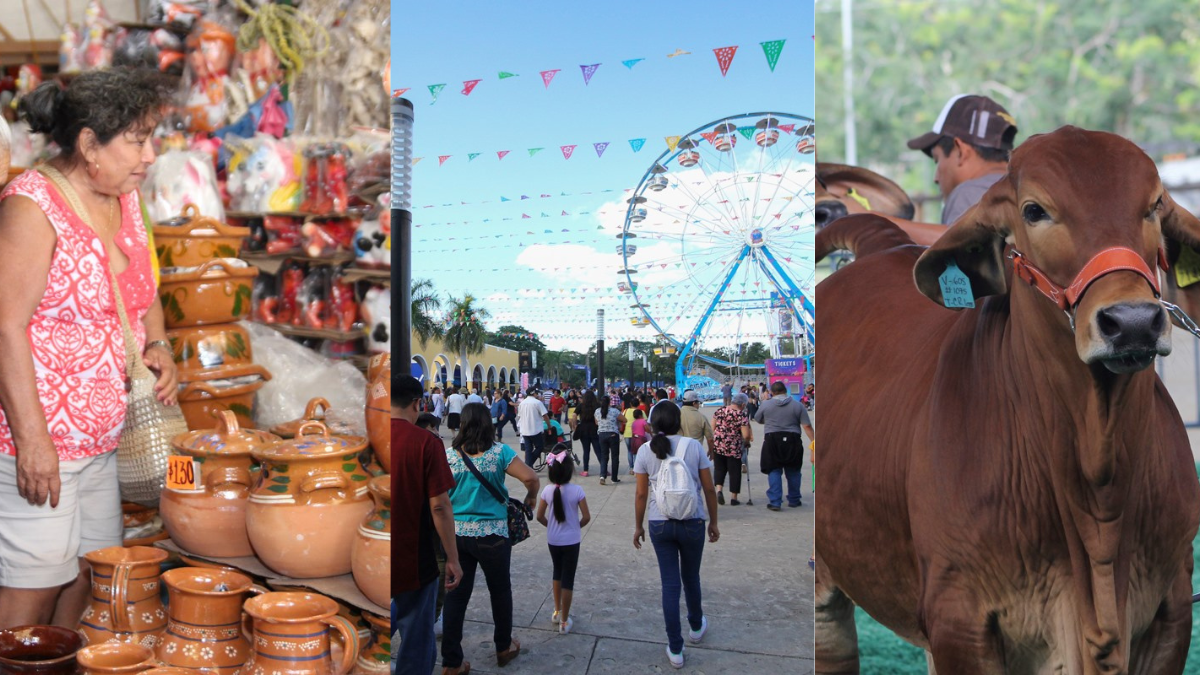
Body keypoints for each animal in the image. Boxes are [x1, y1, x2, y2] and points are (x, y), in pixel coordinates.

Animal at [811, 124, 1200, 667]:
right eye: (1034, 210)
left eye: (1154, 205)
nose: (1133, 322)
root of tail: (880, 242)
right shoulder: (959, 619)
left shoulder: (1174, 610)